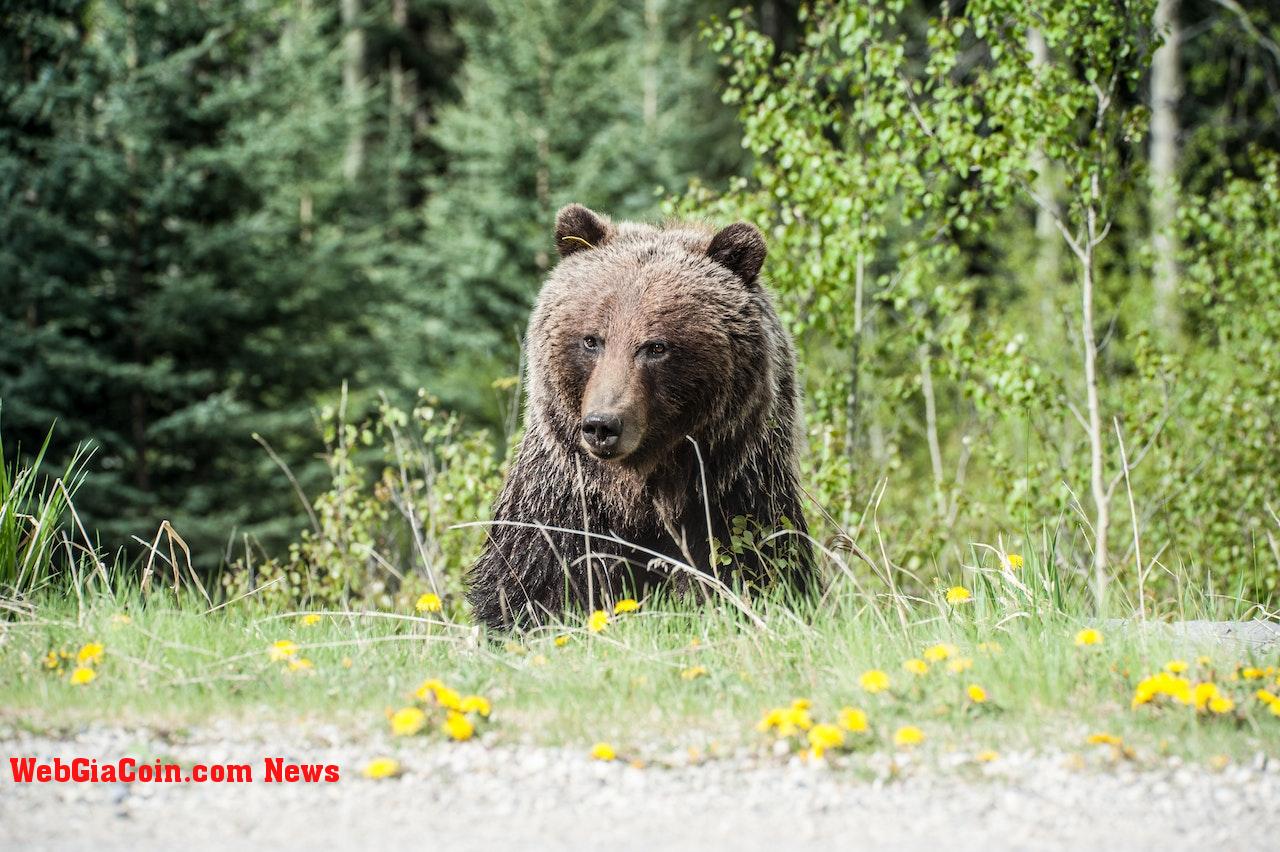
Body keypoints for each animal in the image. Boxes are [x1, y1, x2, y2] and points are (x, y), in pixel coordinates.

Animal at [468, 202, 808, 626]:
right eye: (591, 340)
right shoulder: (562, 505)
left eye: (656, 346)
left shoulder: (733, 497)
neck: (639, 491)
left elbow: (751, 568)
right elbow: (532, 585)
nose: (602, 425)